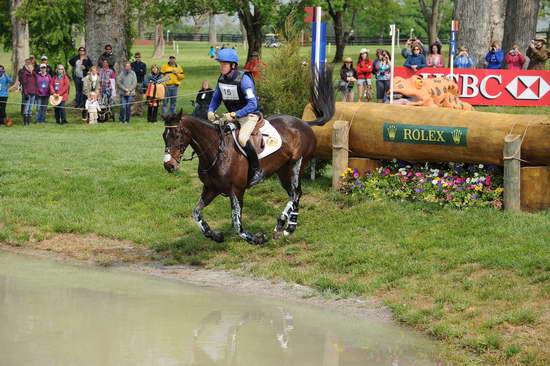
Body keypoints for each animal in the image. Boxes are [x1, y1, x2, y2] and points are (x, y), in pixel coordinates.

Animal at [163, 68, 336, 246]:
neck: (216, 152)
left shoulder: (236, 190)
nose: (169, 165)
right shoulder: (211, 188)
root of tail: (304, 124)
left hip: (296, 164)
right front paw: (214, 234)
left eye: (177, 135)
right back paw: (284, 226)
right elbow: (196, 213)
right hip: (282, 170)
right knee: (294, 193)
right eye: (164, 136)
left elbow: (237, 225)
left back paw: (285, 226)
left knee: (296, 193)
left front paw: (257, 238)